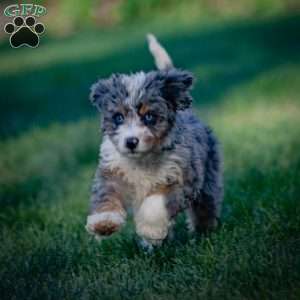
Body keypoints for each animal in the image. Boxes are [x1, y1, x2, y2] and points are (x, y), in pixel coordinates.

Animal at [85, 34, 223, 248]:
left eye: (149, 116)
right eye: (118, 117)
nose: (131, 142)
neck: (142, 160)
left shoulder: (178, 177)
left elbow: (155, 203)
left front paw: (150, 230)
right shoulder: (112, 171)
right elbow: (107, 193)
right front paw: (104, 223)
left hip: (207, 178)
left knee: (205, 206)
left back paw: (202, 233)